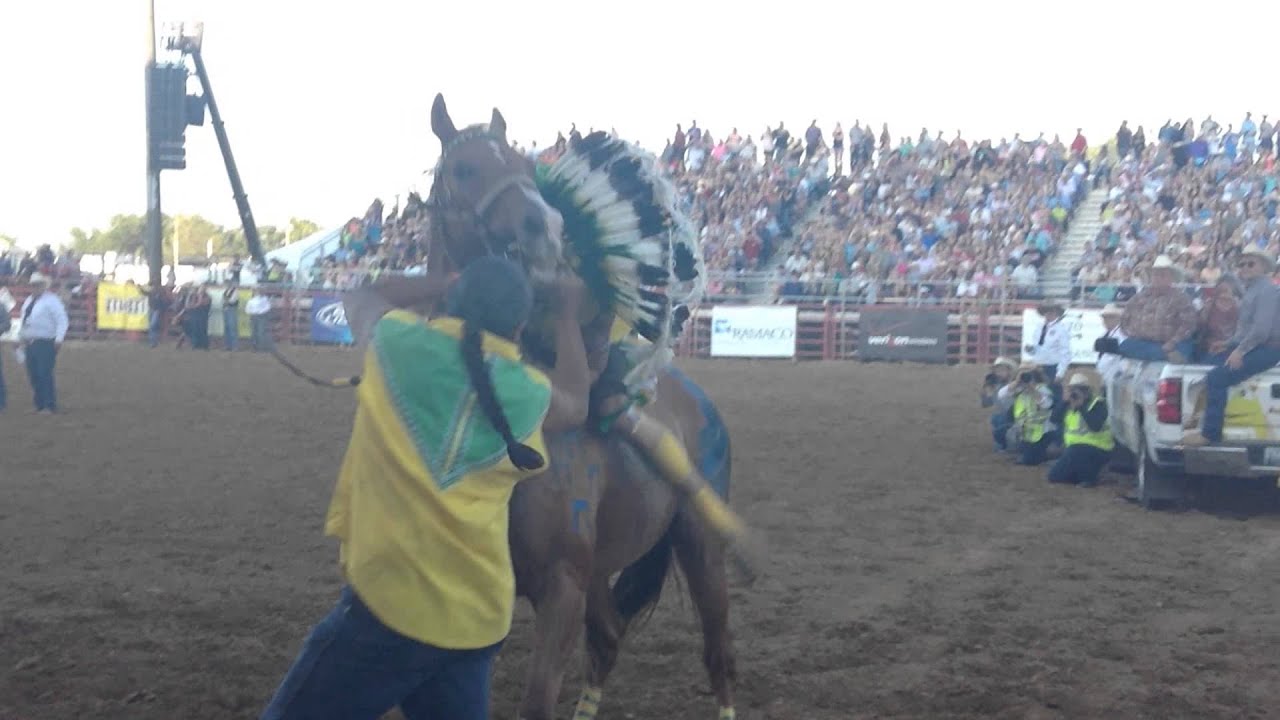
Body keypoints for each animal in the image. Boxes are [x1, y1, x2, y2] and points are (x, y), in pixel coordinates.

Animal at [425, 93, 740, 720]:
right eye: (463, 169)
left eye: (525, 163)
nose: (543, 225)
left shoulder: (562, 585)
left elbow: (536, 701)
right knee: (610, 639)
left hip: (700, 546)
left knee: (717, 652)